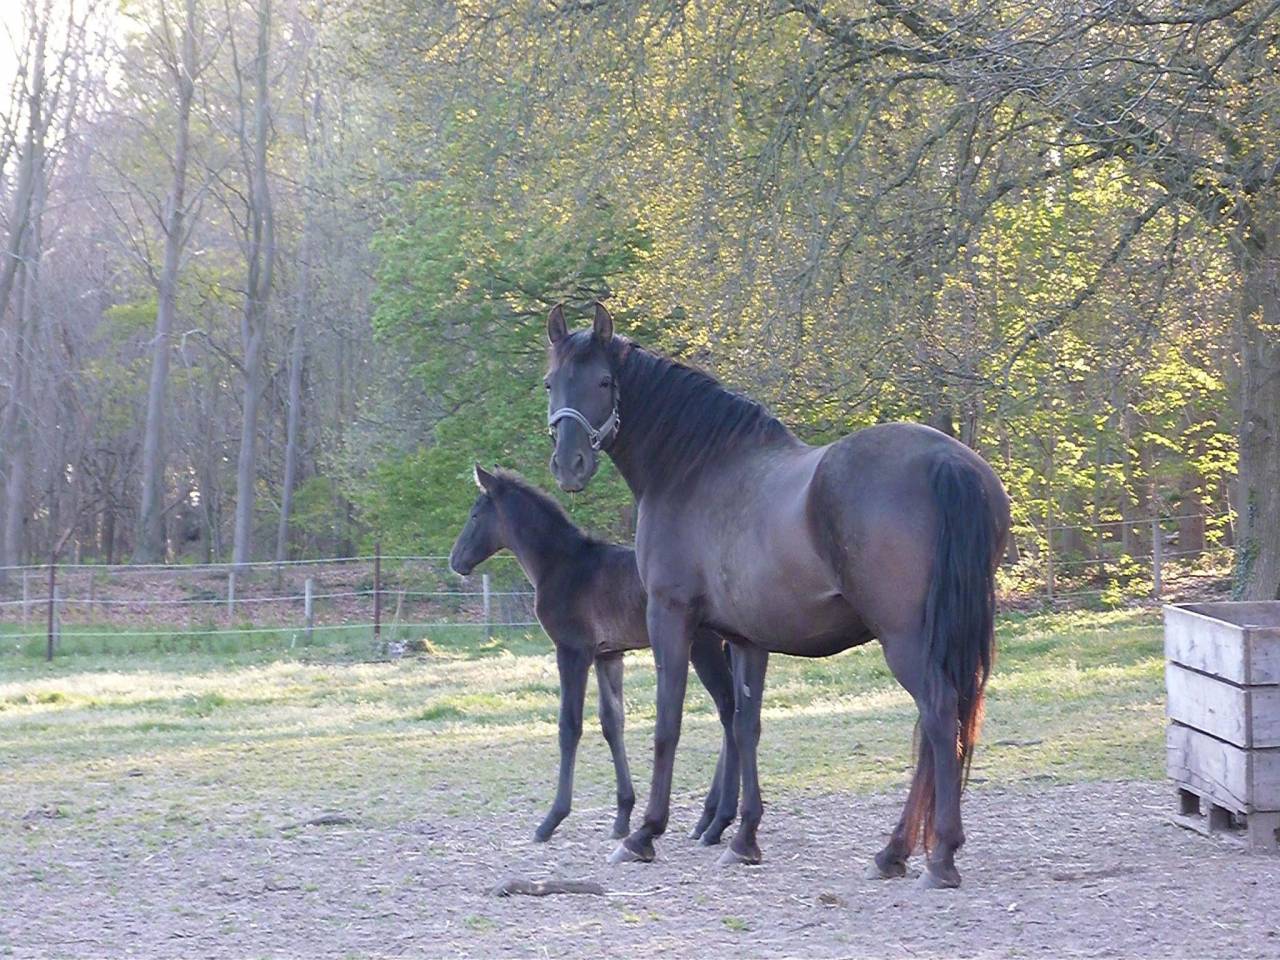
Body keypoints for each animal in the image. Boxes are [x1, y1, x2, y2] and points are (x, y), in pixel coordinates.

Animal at [449, 465, 742, 845]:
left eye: (474, 515)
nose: (455, 562)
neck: (562, 565)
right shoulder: (608, 655)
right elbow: (611, 722)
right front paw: (622, 816)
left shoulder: (573, 651)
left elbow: (569, 726)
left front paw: (551, 819)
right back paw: (706, 819)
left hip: (703, 647)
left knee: (728, 710)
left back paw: (718, 821)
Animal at [542, 303, 1011, 889]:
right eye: (552, 382)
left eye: (604, 381)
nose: (570, 465)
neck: (695, 468)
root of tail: (949, 464)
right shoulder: (747, 638)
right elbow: (746, 727)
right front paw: (743, 838)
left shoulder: (670, 617)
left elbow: (668, 725)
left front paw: (644, 833)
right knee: (936, 725)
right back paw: (894, 852)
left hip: (904, 638)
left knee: (939, 714)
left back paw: (940, 856)